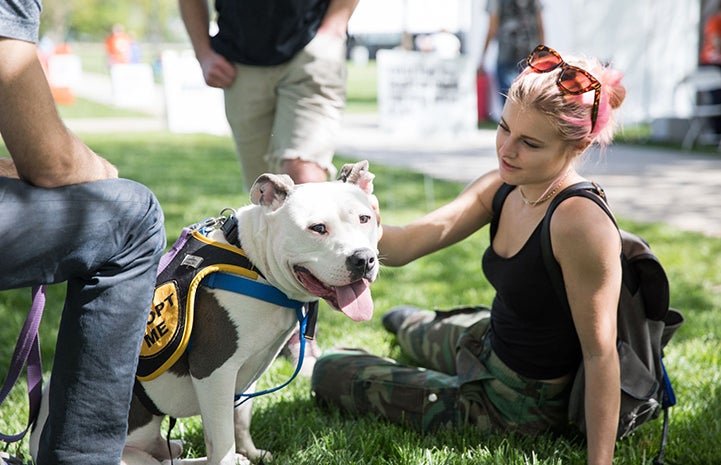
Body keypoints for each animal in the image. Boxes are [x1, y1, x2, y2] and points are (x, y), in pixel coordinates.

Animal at [30, 160, 382, 464]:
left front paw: (250, 452)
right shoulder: (213, 371)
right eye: (317, 228)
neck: (255, 266)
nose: (363, 259)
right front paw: (234, 457)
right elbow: (221, 440)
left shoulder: (245, 371)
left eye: (365, 219)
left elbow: (240, 419)